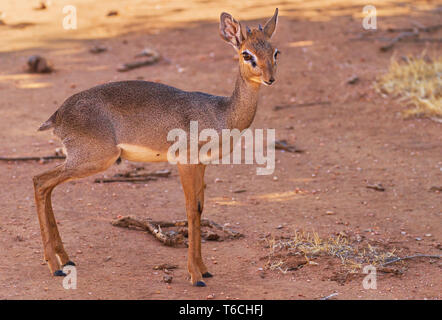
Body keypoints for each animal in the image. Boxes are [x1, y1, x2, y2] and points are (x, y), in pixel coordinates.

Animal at [33, 8, 280, 286]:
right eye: (246, 54)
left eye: (275, 51)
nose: (270, 79)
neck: (221, 114)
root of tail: (57, 115)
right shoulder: (185, 162)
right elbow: (191, 210)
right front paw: (195, 275)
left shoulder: (201, 164)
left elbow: (200, 207)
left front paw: (204, 269)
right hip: (93, 159)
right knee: (40, 181)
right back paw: (55, 266)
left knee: (45, 186)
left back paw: (65, 259)